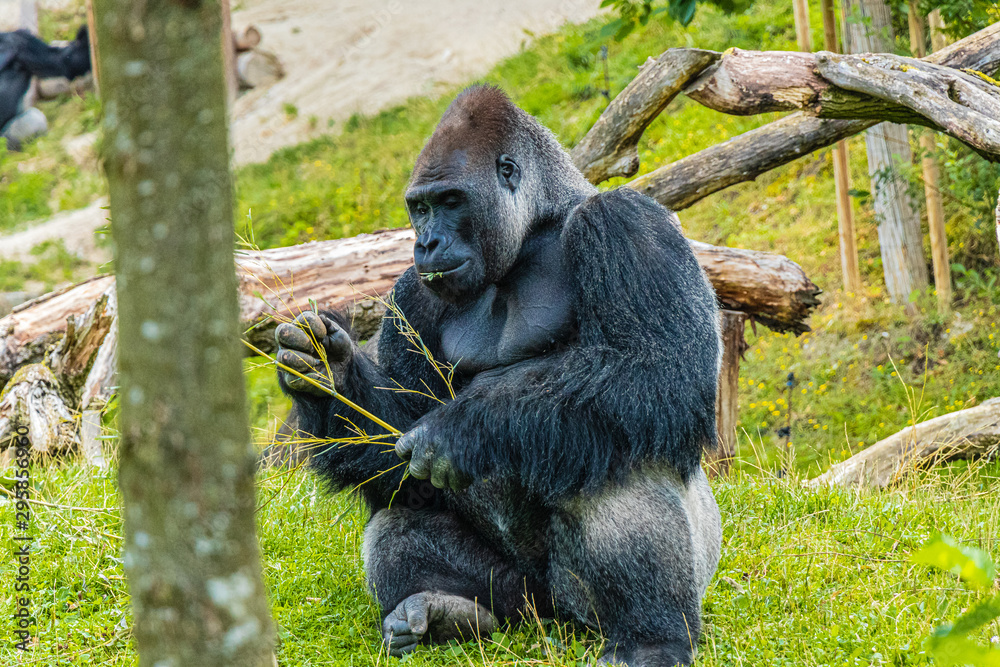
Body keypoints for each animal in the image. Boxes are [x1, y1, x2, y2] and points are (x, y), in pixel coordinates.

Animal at [275, 85, 722, 666]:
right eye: (419, 208)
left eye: (450, 202)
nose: (426, 243)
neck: (540, 223)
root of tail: (553, 618)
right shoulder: (410, 294)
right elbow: (396, 461)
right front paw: (330, 376)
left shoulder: (625, 220)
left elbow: (663, 370)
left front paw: (466, 428)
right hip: (526, 603)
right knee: (402, 524)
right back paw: (451, 612)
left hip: (622, 593)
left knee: (614, 450)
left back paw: (652, 639)